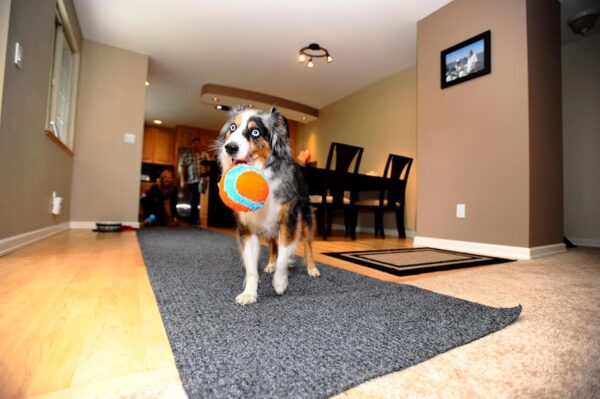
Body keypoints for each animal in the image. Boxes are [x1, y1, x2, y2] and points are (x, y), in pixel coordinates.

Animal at [214, 106, 318, 306]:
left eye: (255, 132)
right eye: (232, 128)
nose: (230, 147)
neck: (261, 171)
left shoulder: (288, 221)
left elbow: (284, 254)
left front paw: (279, 283)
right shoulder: (247, 228)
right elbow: (251, 267)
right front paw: (249, 293)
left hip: (305, 217)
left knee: (307, 243)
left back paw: (312, 268)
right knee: (272, 246)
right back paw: (270, 264)